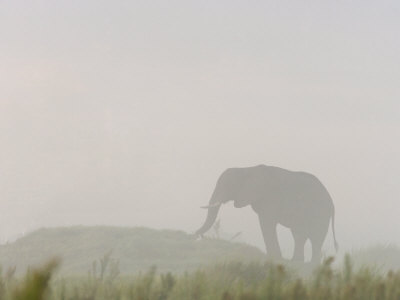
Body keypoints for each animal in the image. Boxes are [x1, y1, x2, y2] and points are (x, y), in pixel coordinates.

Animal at [194, 164, 338, 262]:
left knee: (315, 238)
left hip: (320, 212)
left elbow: (266, 223)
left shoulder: (269, 198)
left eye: (227, 185)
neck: (246, 169)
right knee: (299, 235)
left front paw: (274, 258)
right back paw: (297, 262)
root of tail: (332, 202)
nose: (197, 235)